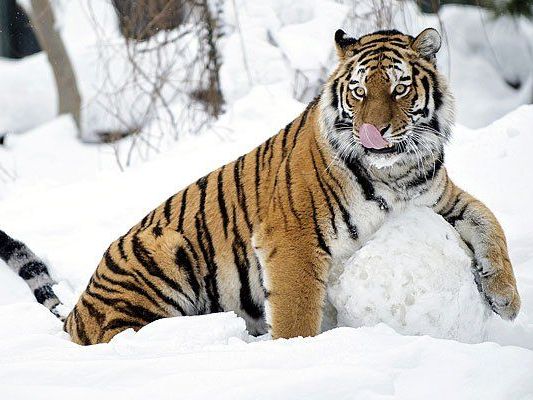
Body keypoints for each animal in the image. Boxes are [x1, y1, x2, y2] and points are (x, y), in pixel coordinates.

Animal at [0, 27, 520, 344]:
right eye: (358, 91)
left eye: (399, 88)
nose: (373, 132)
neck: (396, 172)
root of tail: (78, 310)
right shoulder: (292, 236)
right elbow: (296, 307)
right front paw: (297, 351)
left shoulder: (442, 197)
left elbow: (491, 222)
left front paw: (507, 300)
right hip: (162, 250)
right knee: (126, 336)